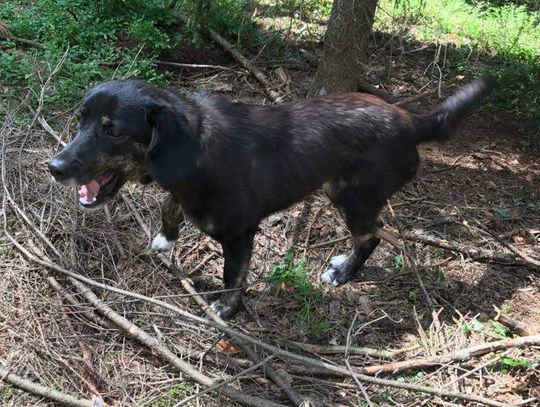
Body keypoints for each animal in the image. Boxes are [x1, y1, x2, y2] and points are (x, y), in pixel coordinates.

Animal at [49, 77, 494, 318]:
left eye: (113, 130)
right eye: (80, 119)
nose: (54, 167)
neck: (194, 152)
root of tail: (413, 121)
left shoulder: (240, 235)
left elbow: (233, 277)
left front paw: (226, 309)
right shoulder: (181, 193)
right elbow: (169, 205)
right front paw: (165, 237)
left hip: (351, 197)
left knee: (371, 235)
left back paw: (344, 273)